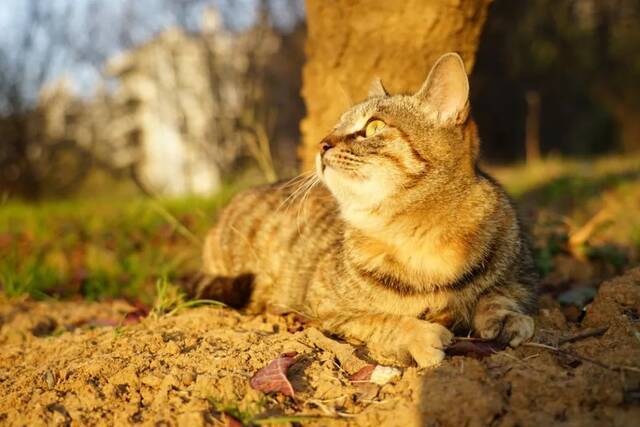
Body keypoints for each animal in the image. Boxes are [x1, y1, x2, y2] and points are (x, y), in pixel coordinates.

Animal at [198, 52, 536, 368]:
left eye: (374, 126)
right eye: (335, 126)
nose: (322, 144)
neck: (420, 236)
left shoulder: (520, 276)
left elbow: (498, 294)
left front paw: (505, 316)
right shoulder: (327, 305)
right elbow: (381, 320)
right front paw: (418, 334)